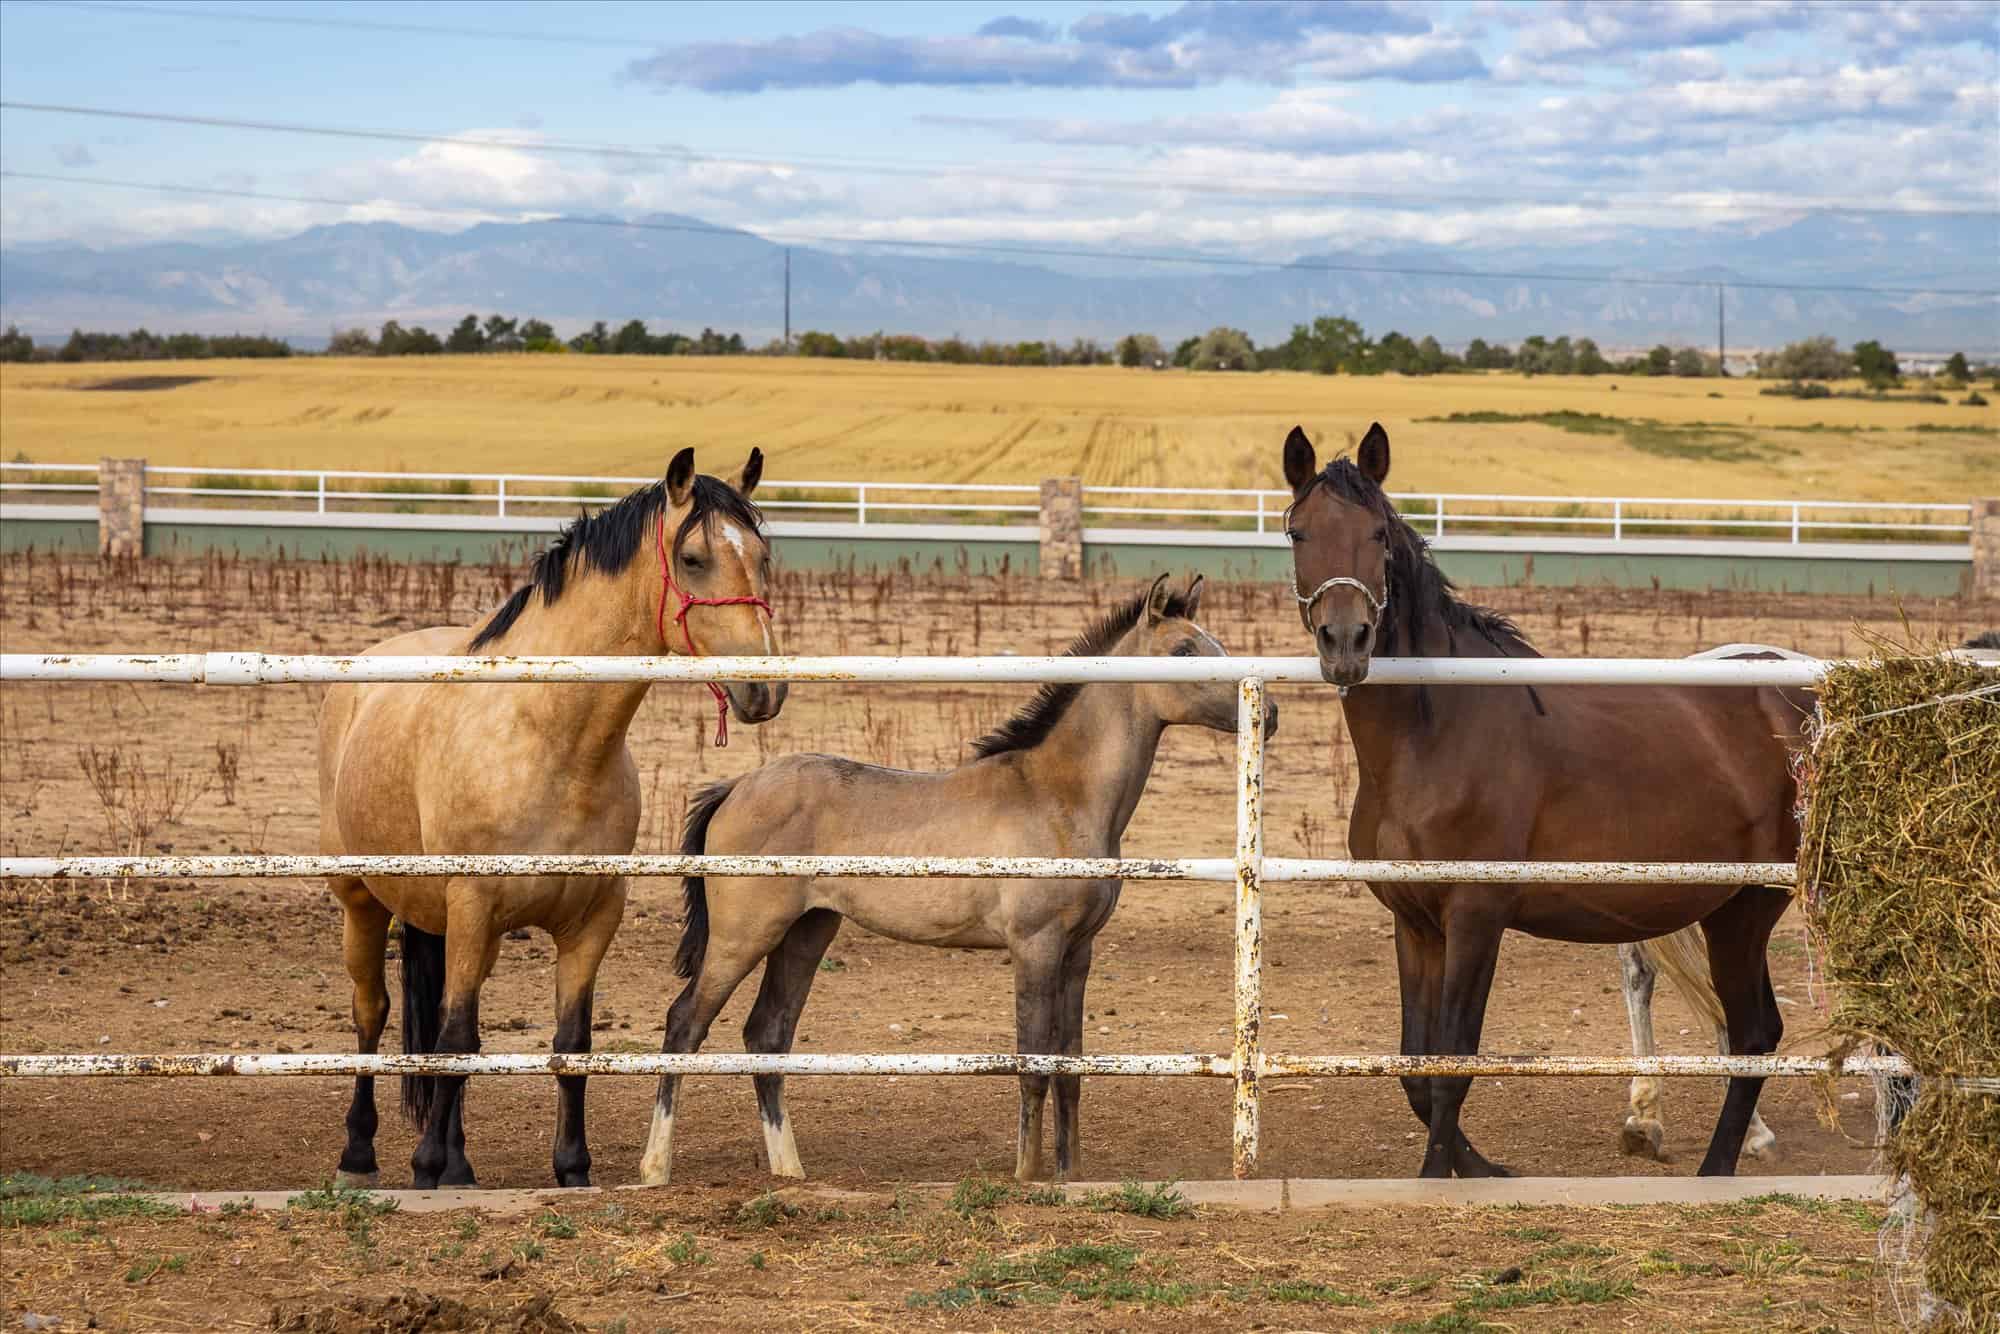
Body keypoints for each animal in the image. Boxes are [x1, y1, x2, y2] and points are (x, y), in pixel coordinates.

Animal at [318, 447, 781, 1190]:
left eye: (763, 556)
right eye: (694, 559)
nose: (764, 690)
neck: (550, 739)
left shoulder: (589, 920)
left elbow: (570, 1043)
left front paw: (571, 1166)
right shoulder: (472, 905)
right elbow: (455, 1040)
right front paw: (424, 1166)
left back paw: (460, 1163)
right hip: (362, 901)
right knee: (372, 1014)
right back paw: (360, 1155)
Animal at [637, 574, 1275, 1186]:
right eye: (1186, 649)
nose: (1267, 716)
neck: (1059, 795)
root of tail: (735, 787)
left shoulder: (1079, 951)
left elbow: (1069, 1067)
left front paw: (1069, 1176)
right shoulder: (1035, 945)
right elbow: (1033, 1063)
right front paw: (1026, 1176)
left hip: (807, 931)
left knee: (767, 1034)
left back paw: (789, 1172)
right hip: (744, 935)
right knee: (685, 1024)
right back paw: (655, 1168)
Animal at [1280, 422, 1811, 1177]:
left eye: (1378, 533)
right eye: (1298, 532)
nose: (1346, 642)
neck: (1437, 733)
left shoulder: (1477, 918)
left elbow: (1453, 1065)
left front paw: (1438, 1181)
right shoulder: (1415, 923)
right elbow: (1417, 1069)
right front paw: (1481, 1170)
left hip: (1748, 908)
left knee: (1753, 1033)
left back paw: (1715, 1171)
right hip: (1729, 909)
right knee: (1754, 1031)